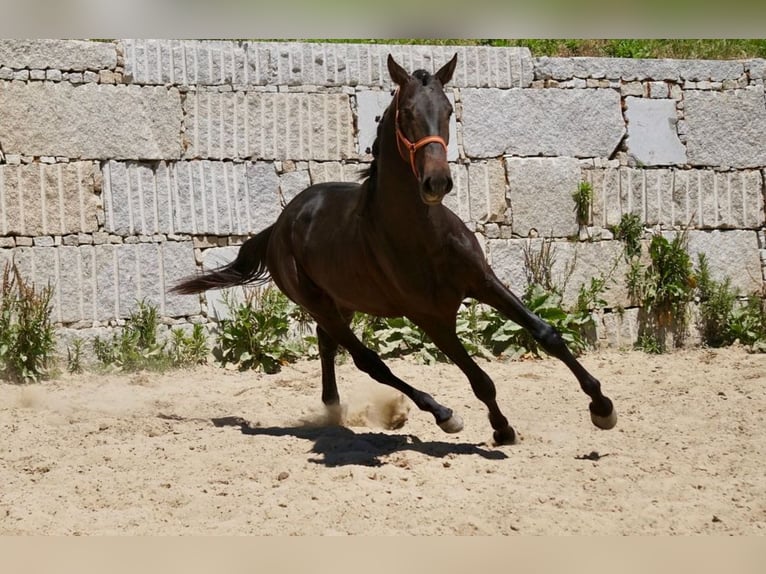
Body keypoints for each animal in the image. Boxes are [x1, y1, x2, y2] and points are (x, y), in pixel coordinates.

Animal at [174, 54, 616, 446]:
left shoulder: (484, 283)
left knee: (327, 343)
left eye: (449, 111)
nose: (437, 183)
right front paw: (501, 430)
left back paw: (333, 409)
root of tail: (280, 225)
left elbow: (547, 334)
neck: (423, 237)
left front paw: (602, 407)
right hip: (319, 303)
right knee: (368, 360)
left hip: (344, 301)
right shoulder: (432, 318)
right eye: (405, 113)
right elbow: (479, 379)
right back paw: (441, 414)